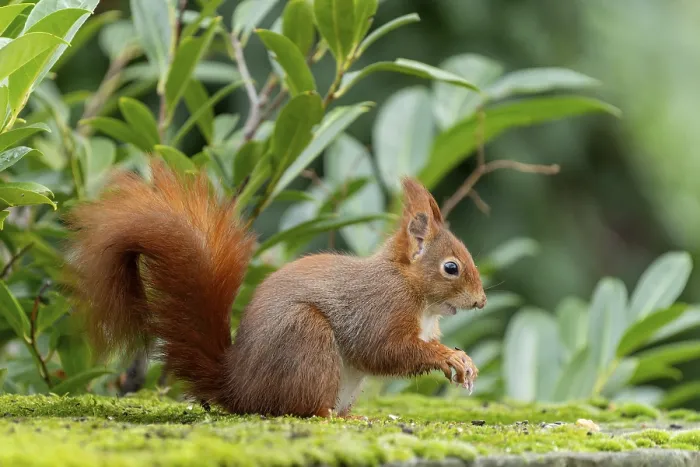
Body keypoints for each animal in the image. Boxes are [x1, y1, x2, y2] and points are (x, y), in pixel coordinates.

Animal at [64, 160, 486, 418]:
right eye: (451, 267)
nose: (481, 302)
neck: (414, 291)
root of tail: (240, 388)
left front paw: (463, 360)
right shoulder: (380, 308)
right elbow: (384, 350)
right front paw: (448, 357)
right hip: (306, 338)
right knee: (302, 408)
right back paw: (335, 418)